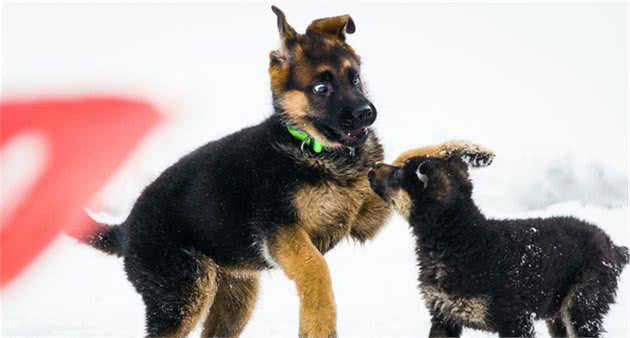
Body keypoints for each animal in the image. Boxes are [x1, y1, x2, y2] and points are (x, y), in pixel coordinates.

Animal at [74, 5, 496, 338]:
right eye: (322, 88)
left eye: (354, 77)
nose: (367, 114)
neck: (314, 150)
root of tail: (126, 228)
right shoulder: (280, 231)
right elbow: (316, 269)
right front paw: (319, 325)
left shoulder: (364, 218)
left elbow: (401, 158)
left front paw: (469, 151)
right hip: (183, 293)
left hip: (235, 294)